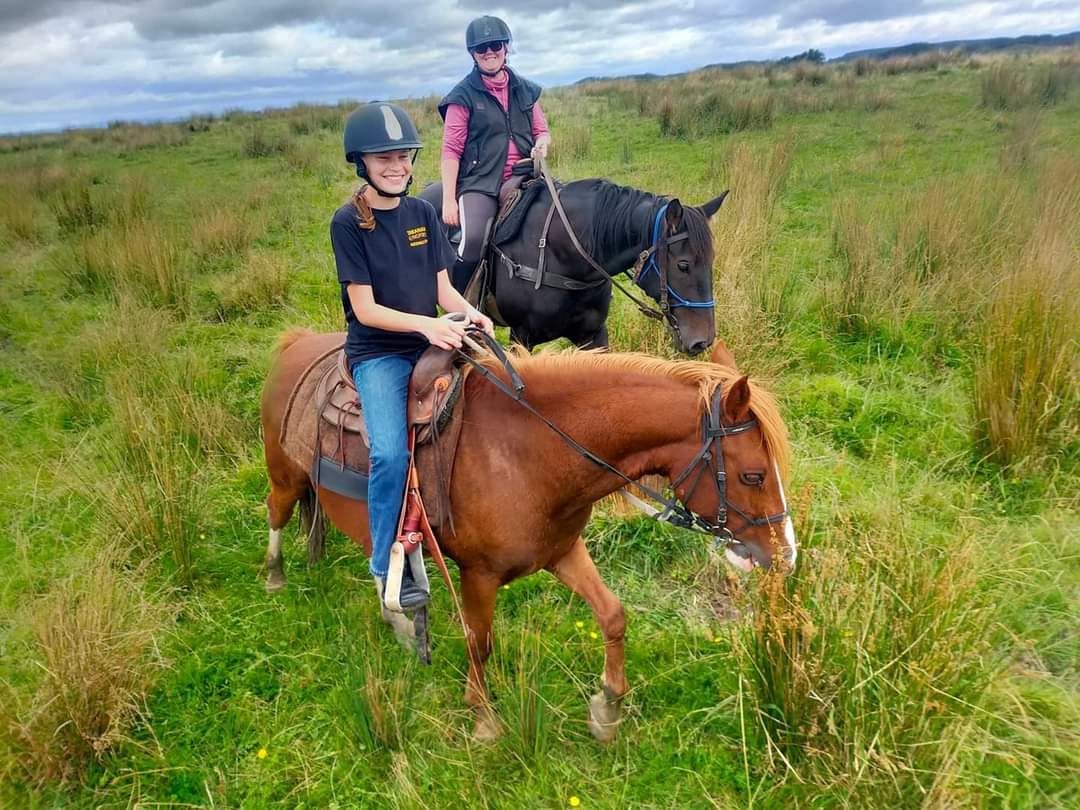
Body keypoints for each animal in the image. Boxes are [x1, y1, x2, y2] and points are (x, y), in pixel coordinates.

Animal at [261, 332, 794, 747]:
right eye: (752, 475)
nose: (785, 556)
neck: (528, 450)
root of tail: (296, 342)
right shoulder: (478, 574)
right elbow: (480, 643)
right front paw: (483, 718)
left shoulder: (562, 550)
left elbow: (613, 615)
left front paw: (606, 709)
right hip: (286, 478)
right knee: (277, 512)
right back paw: (274, 576)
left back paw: (399, 621)